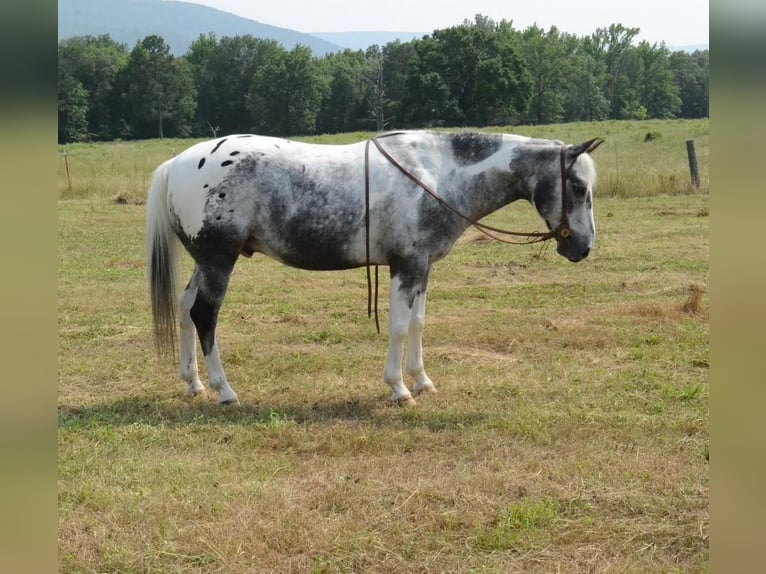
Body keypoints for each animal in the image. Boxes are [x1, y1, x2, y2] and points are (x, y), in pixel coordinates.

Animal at [147, 132, 604, 408]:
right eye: (578, 187)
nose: (582, 247)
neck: (437, 175)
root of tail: (177, 164)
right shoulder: (405, 267)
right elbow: (400, 327)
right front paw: (399, 388)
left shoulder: (421, 270)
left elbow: (418, 324)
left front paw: (421, 380)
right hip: (218, 261)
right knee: (204, 316)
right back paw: (224, 390)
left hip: (205, 262)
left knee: (185, 309)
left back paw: (193, 382)